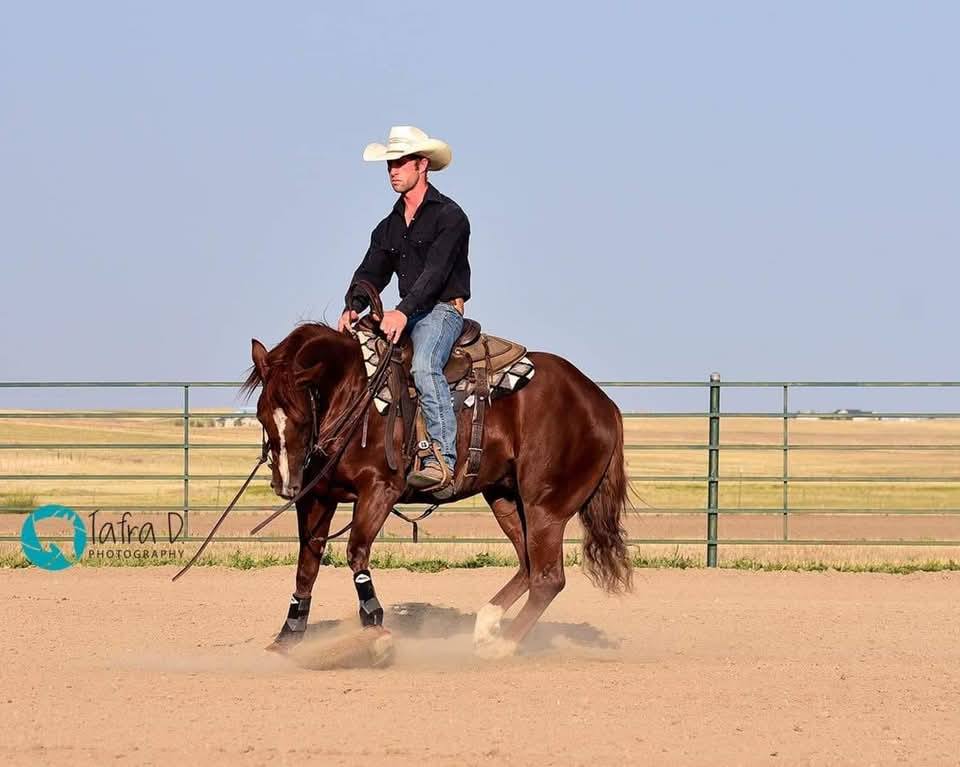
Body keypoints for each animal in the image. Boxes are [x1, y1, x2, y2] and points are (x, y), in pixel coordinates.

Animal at [242, 312, 632, 658]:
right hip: (505, 498)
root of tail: (601, 402)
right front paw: (286, 637)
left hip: (545, 507)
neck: (355, 394)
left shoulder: (379, 490)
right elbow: (307, 564)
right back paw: (486, 628)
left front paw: (374, 627)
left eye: (299, 416)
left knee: (548, 577)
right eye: (262, 414)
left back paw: (503, 647)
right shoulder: (318, 497)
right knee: (528, 565)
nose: (285, 485)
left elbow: (356, 553)